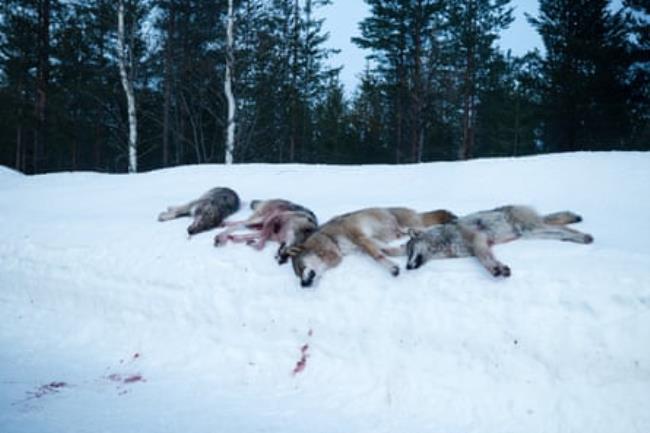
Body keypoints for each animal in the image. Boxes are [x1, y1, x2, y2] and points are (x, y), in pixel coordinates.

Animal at [286, 207, 454, 286]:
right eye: (298, 275)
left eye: (300, 268)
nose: (302, 285)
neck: (331, 239)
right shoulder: (372, 242)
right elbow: (387, 251)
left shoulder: (361, 238)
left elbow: (377, 256)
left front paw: (393, 269)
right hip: (398, 232)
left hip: (407, 226)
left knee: (428, 228)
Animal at [404, 203, 592, 276]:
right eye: (407, 255)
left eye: (410, 251)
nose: (406, 267)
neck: (444, 243)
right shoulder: (481, 245)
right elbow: (486, 257)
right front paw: (497, 268)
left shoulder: (478, 240)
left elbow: (485, 259)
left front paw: (496, 269)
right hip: (529, 233)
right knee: (560, 229)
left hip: (530, 229)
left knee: (563, 229)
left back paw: (584, 236)